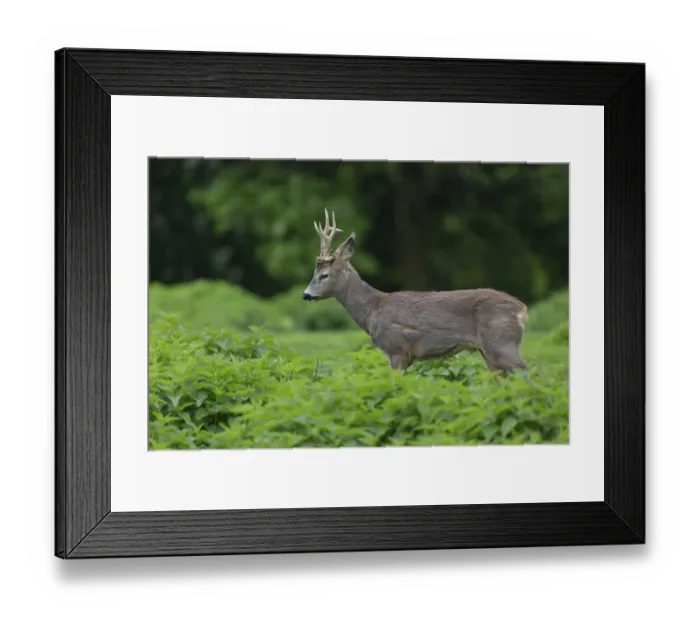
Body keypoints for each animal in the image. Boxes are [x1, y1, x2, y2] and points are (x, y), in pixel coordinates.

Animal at [302, 209, 531, 382]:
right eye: (314, 273)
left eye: (324, 275)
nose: (306, 295)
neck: (372, 310)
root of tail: (521, 309)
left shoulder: (396, 349)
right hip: (490, 353)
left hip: (502, 342)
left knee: (528, 372)